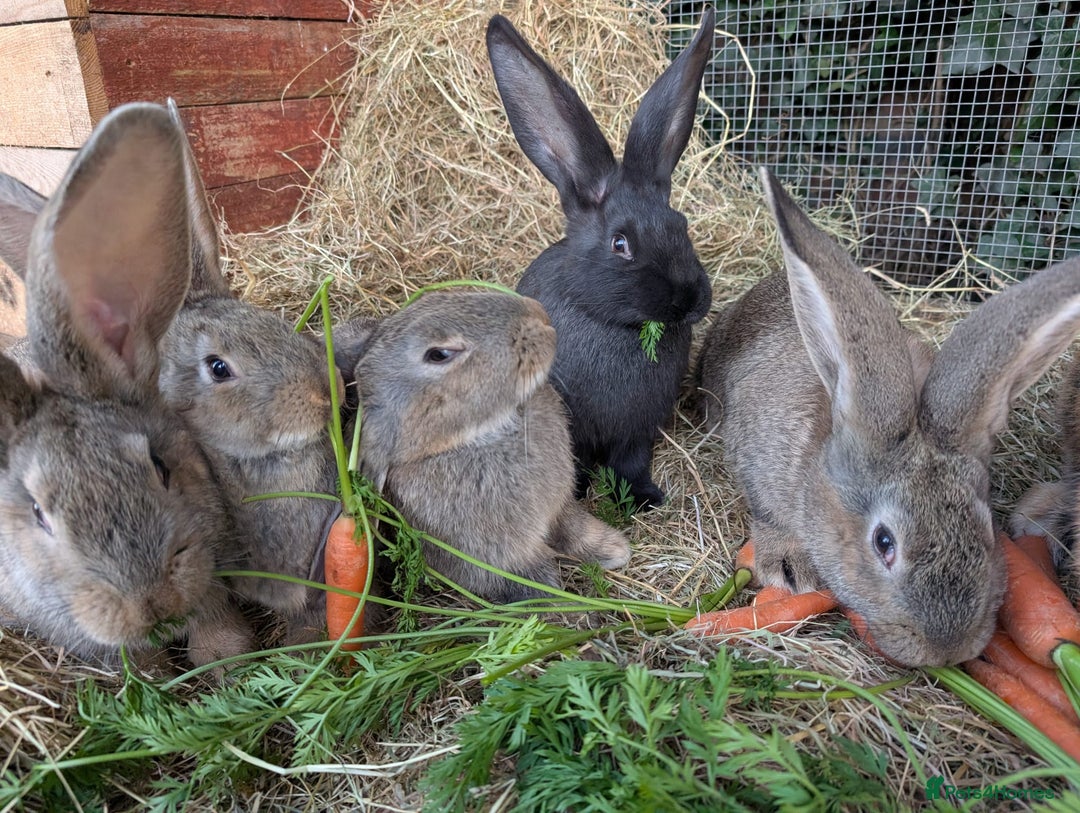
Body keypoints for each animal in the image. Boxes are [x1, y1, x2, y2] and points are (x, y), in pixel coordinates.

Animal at [346, 289, 631, 603]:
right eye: (439, 354)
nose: (539, 316)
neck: (480, 436)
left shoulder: (560, 508)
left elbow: (573, 529)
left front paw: (615, 549)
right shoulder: (496, 561)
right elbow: (527, 579)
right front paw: (554, 600)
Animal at [485, 9, 716, 510]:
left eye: (682, 224)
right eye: (620, 244)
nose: (689, 299)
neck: (615, 325)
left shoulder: (638, 433)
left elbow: (630, 463)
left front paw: (645, 498)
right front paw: (574, 497)